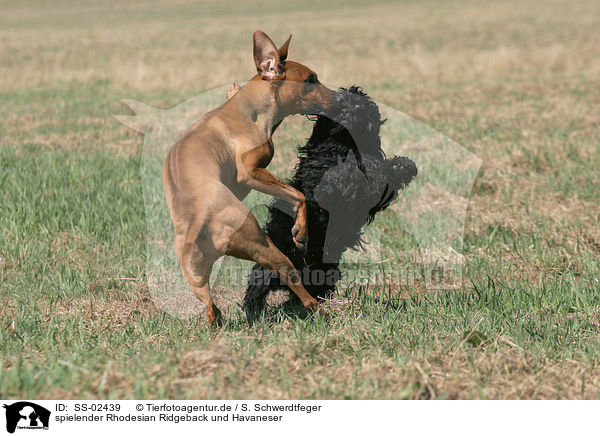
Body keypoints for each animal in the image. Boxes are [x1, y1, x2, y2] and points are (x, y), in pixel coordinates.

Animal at [162, 30, 336, 324]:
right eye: (311, 80)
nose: (338, 99)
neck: (249, 109)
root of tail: (200, 215)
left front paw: (233, 88)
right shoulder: (250, 174)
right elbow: (299, 195)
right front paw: (300, 233)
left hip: (196, 272)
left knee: (209, 305)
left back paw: (217, 319)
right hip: (263, 246)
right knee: (288, 272)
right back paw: (317, 308)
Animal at [244, 86, 418, 316]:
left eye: (360, 104)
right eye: (342, 102)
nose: (352, 106)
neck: (345, 143)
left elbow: (378, 178)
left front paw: (403, 166)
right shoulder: (319, 178)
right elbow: (338, 178)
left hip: (325, 273)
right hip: (272, 263)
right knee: (257, 287)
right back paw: (254, 311)